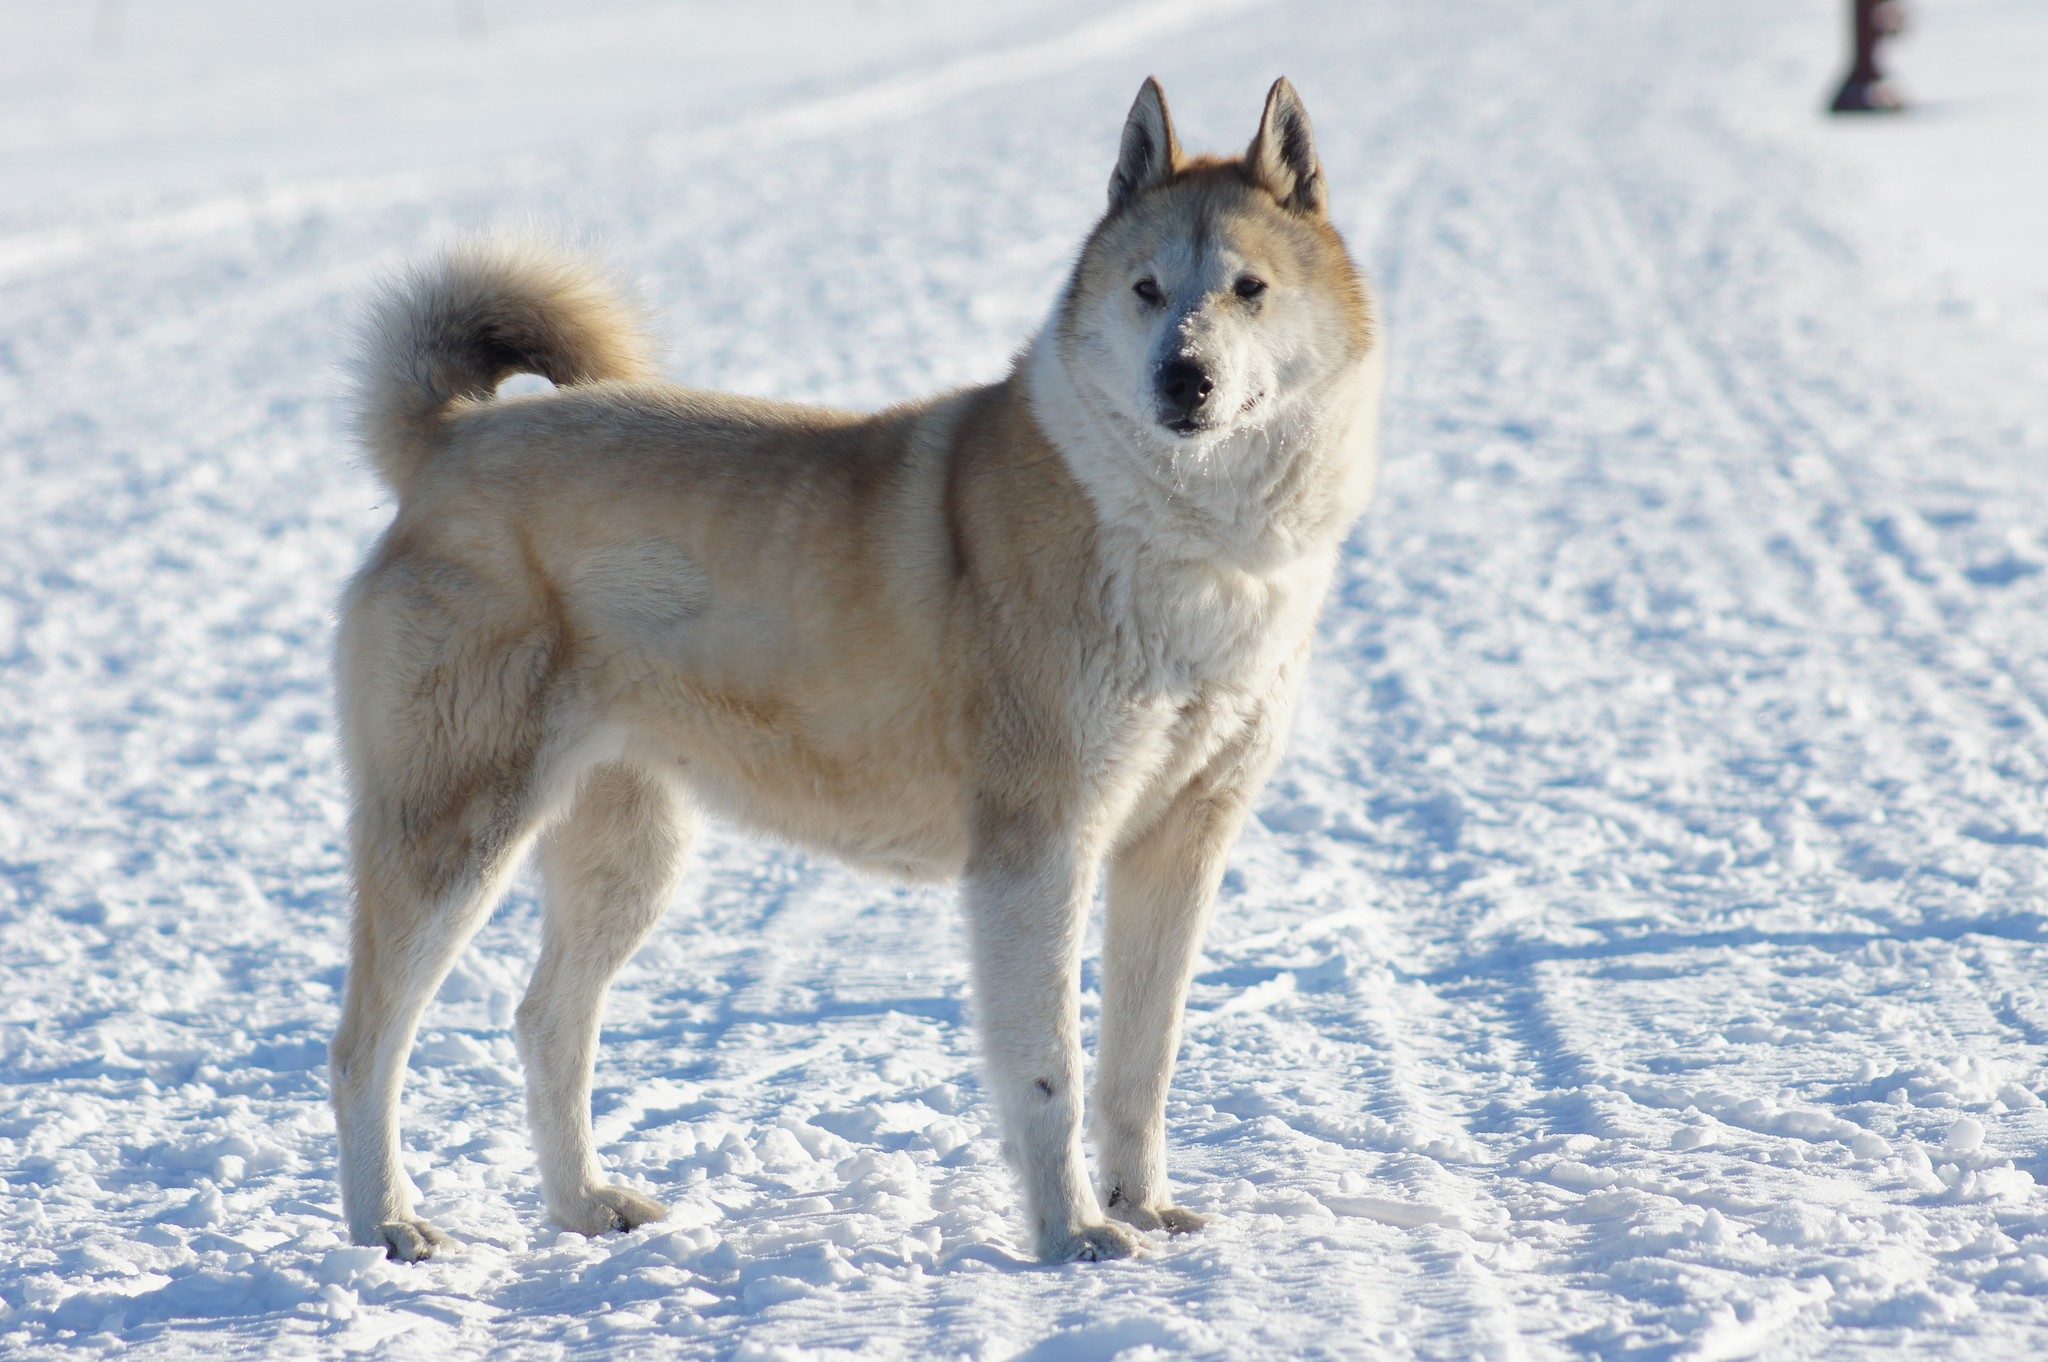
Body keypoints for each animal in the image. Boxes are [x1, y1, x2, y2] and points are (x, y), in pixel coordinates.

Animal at [327, 74, 1384, 1261]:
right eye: (1146, 290)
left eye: (1249, 289)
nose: (1184, 378)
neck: (1186, 541)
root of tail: (452, 440)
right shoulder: (1039, 846)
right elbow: (1050, 1070)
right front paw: (1071, 1235)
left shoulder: (1180, 844)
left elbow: (1140, 1064)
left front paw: (1143, 1206)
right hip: (456, 829)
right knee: (366, 1046)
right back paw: (389, 1224)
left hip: (628, 851)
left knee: (546, 1022)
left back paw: (587, 1205)